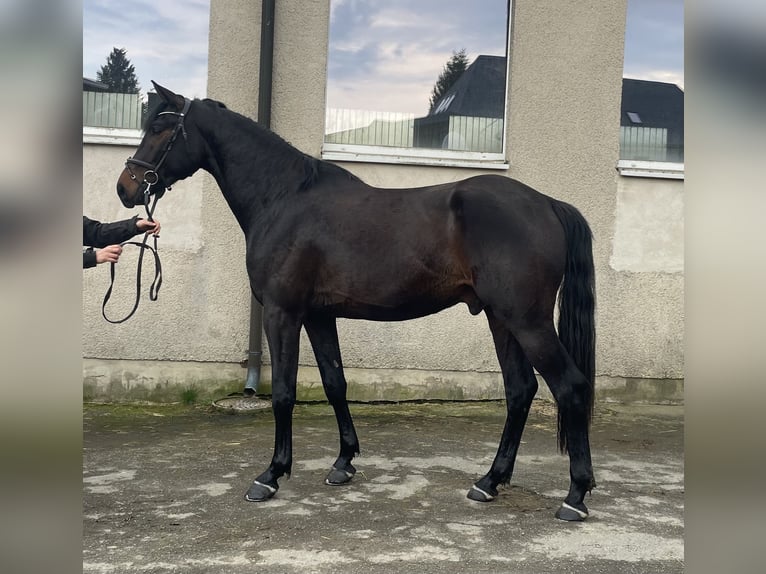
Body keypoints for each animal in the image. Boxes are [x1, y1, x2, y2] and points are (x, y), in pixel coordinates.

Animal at [117, 82, 597, 522]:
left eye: (159, 129)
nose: (126, 188)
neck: (284, 198)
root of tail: (547, 204)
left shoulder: (282, 313)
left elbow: (285, 392)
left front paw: (271, 475)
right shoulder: (319, 316)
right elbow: (335, 383)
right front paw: (343, 463)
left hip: (527, 321)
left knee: (570, 386)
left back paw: (575, 496)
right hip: (501, 319)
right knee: (520, 390)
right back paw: (490, 482)